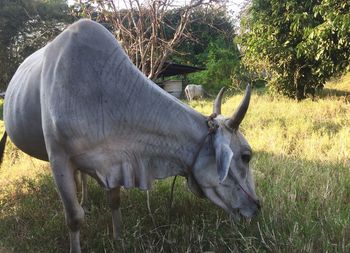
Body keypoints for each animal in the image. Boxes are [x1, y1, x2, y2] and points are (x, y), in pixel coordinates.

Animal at [0, 18, 260, 252]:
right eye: (246, 156)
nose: (257, 207)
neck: (103, 94)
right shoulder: (59, 159)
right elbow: (74, 217)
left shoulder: (115, 160)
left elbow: (114, 200)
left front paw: (119, 239)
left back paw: (85, 199)